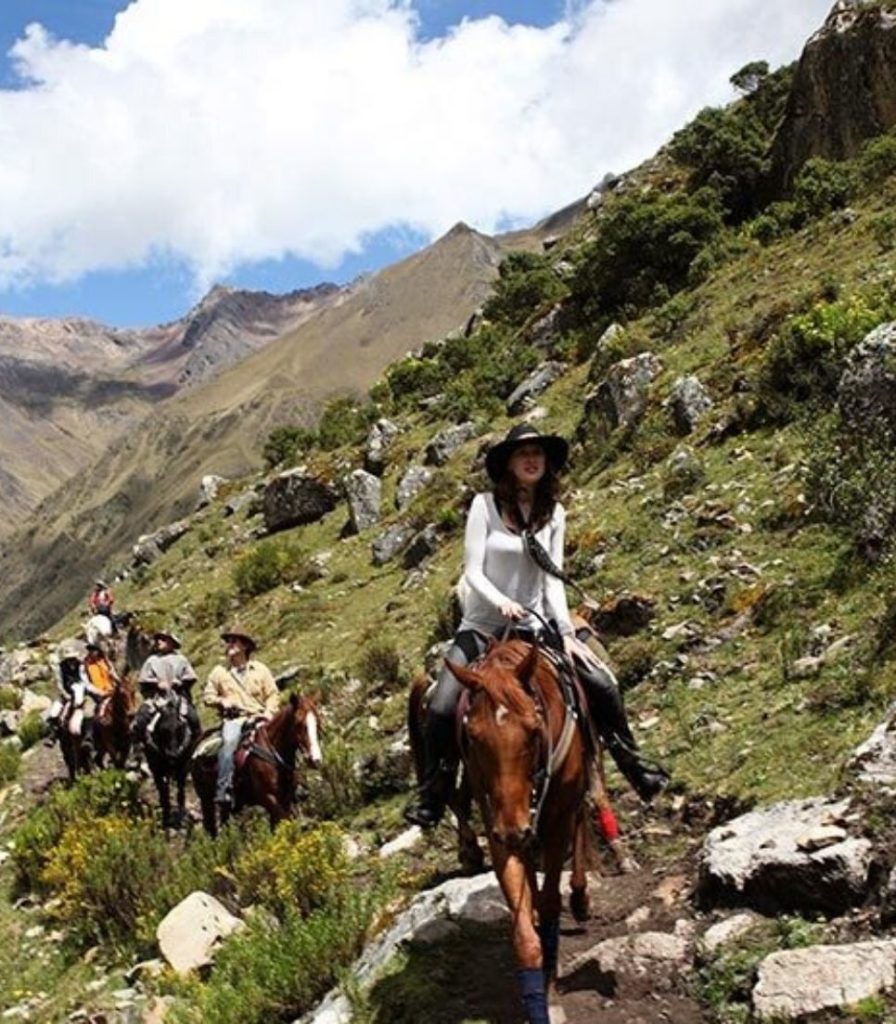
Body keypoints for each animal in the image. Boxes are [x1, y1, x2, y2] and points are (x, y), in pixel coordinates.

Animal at [145, 692, 196, 827]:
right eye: (161, 729)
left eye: (180, 727)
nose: (173, 755)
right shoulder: (157, 771)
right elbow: (164, 793)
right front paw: (166, 817)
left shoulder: (182, 769)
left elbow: (180, 793)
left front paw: (181, 817)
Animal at [190, 692, 323, 835]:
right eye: (298, 723)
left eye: (318, 723)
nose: (315, 760)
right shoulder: (268, 799)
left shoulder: (285, 800)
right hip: (206, 799)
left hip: (232, 805)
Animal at [440, 638, 589, 1024]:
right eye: (473, 738)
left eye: (534, 730)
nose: (514, 830)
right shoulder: (500, 832)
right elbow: (524, 931)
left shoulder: (556, 823)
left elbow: (550, 902)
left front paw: (551, 970)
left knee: (584, 815)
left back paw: (581, 897)